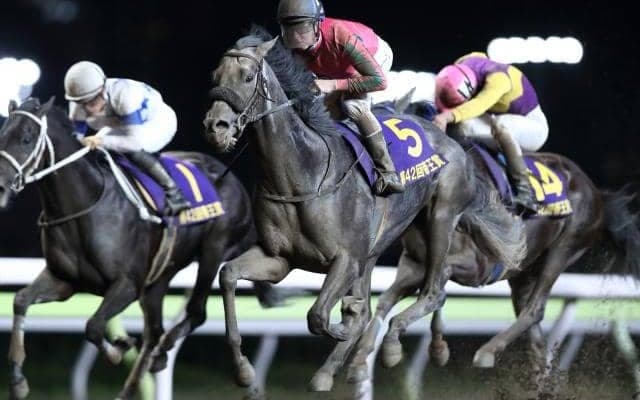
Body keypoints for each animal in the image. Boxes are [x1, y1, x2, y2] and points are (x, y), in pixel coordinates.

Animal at [0, 97, 283, 400]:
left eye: (27, 138)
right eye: (2, 134)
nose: (2, 185)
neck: (84, 206)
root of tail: (230, 178)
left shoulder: (127, 284)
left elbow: (94, 326)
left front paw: (119, 347)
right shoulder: (64, 281)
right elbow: (20, 301)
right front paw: (17, 381)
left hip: (213, 249)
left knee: (194, 313)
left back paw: (169, 352)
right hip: (159, 278)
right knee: (154, 332)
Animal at [202, 25, 527, 392]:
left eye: (247, 76)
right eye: (215, 75)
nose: (215, 127)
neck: (303, 172)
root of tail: (450, 141)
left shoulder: (346, 259)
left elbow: (319, 316)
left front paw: (347, 322)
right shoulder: (280, 259)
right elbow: (228, 275)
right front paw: (244, 370)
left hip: (441, 216)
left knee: (434, 292)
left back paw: (394, 346)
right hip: (385, 244)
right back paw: (336, 369)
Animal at [345, 98, 640, 395]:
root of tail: (597, 193)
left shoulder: (478, 265)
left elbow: (431, 287)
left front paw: (412, 345)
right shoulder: (413, 264)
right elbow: (385, 301)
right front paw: (360, 360)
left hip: (563, 248)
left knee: (535, 309)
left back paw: (487, 352)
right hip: (523, 274)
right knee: (534, 330)